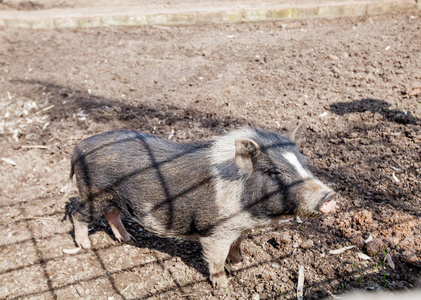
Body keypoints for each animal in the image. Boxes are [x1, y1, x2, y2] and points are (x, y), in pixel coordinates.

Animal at [69, 126, 338, 286]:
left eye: (304, 163)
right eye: (274, 172)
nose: (330, 196)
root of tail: (78, 147)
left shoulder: (239, 229)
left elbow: (237, 246)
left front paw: (239, 262)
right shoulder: (215, 232)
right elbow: (216, 260)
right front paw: (223, 285)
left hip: (113, 198)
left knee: (112, 213)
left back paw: (127, 239)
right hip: (93, 194)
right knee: (77, 213)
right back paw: (85, 245)